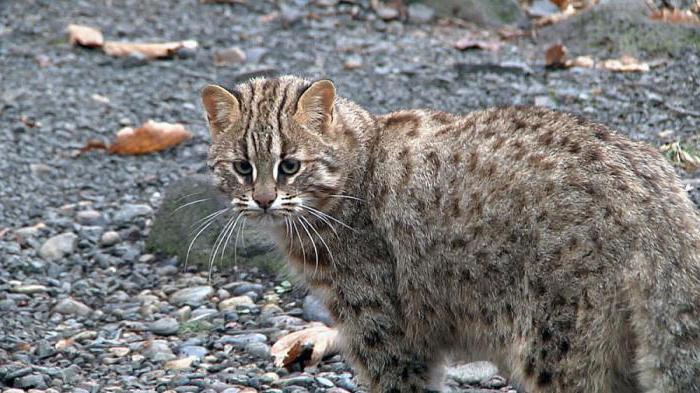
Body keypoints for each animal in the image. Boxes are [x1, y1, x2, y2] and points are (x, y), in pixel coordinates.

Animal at [198, 75, 700, 390]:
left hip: (558, 345)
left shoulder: (384, 331)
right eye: (242, 167)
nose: (263, 200)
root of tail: (655, 189)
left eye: (290, 166)